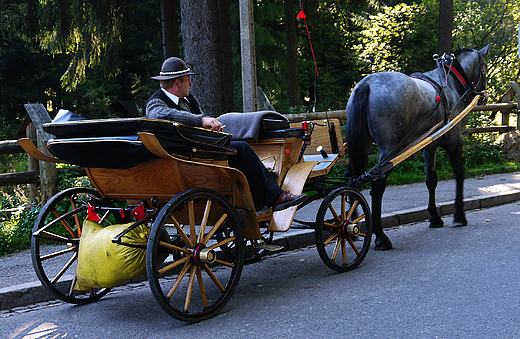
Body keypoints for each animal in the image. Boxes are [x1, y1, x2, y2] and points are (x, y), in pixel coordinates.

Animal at [348, 45, 490, 251]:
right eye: (485, 67)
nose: (483, 97)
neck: (451, 81)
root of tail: (366, 84)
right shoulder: (454, 142)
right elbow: (459, 174)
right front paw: (459, 215)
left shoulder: (429, 147)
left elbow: (431, 180)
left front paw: (434, 217)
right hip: (390, 151)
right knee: (377, 185)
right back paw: (380, 236)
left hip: (362, 145)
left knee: (350, 177)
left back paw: (351, 224)